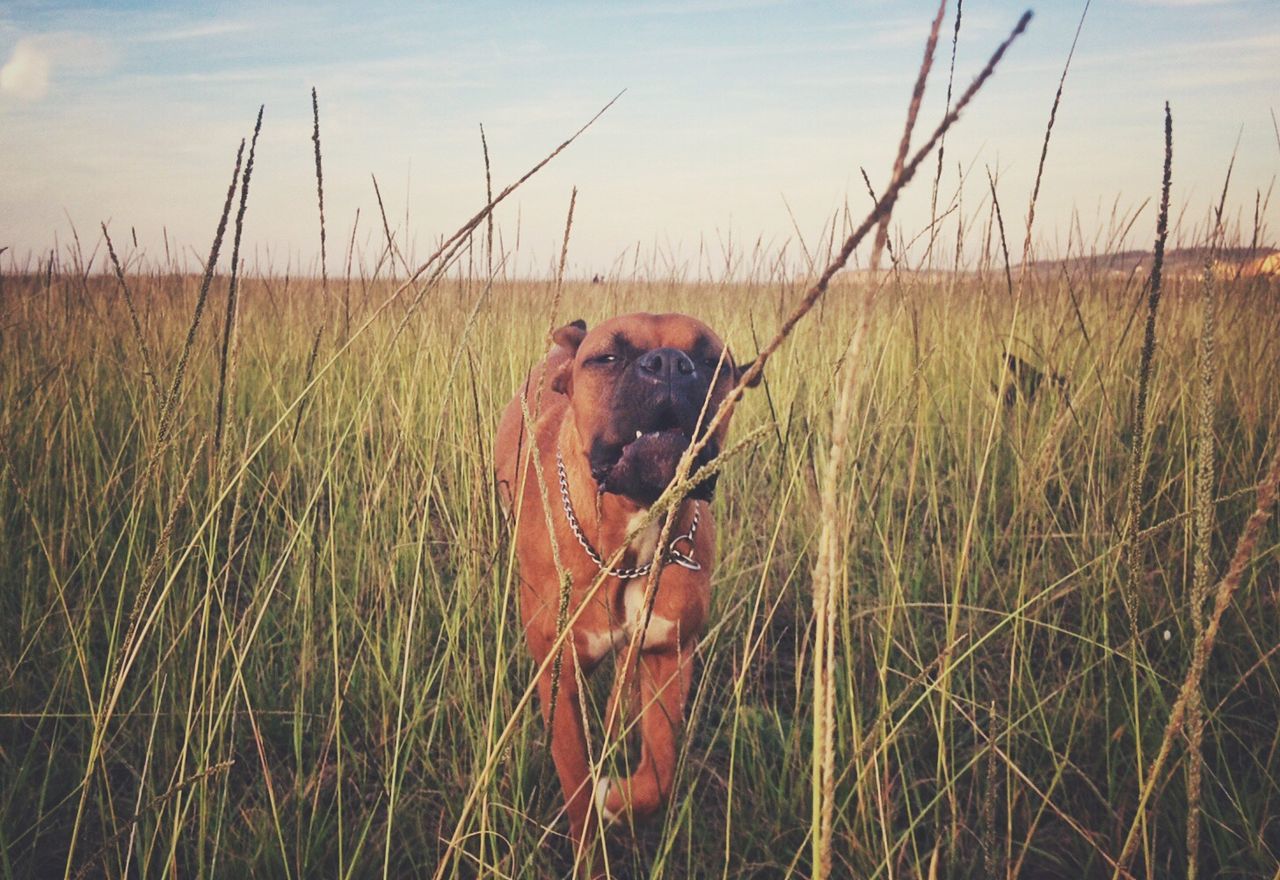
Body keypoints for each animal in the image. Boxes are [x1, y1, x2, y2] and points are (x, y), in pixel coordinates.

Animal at [494, 314, 757, 859]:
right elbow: (577, 790)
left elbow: (659, 774)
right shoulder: (561, 681)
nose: (670, 365)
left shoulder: (667, 655)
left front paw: (618, 800)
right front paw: (591, 842)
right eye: (608, 358)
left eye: (712, 362)